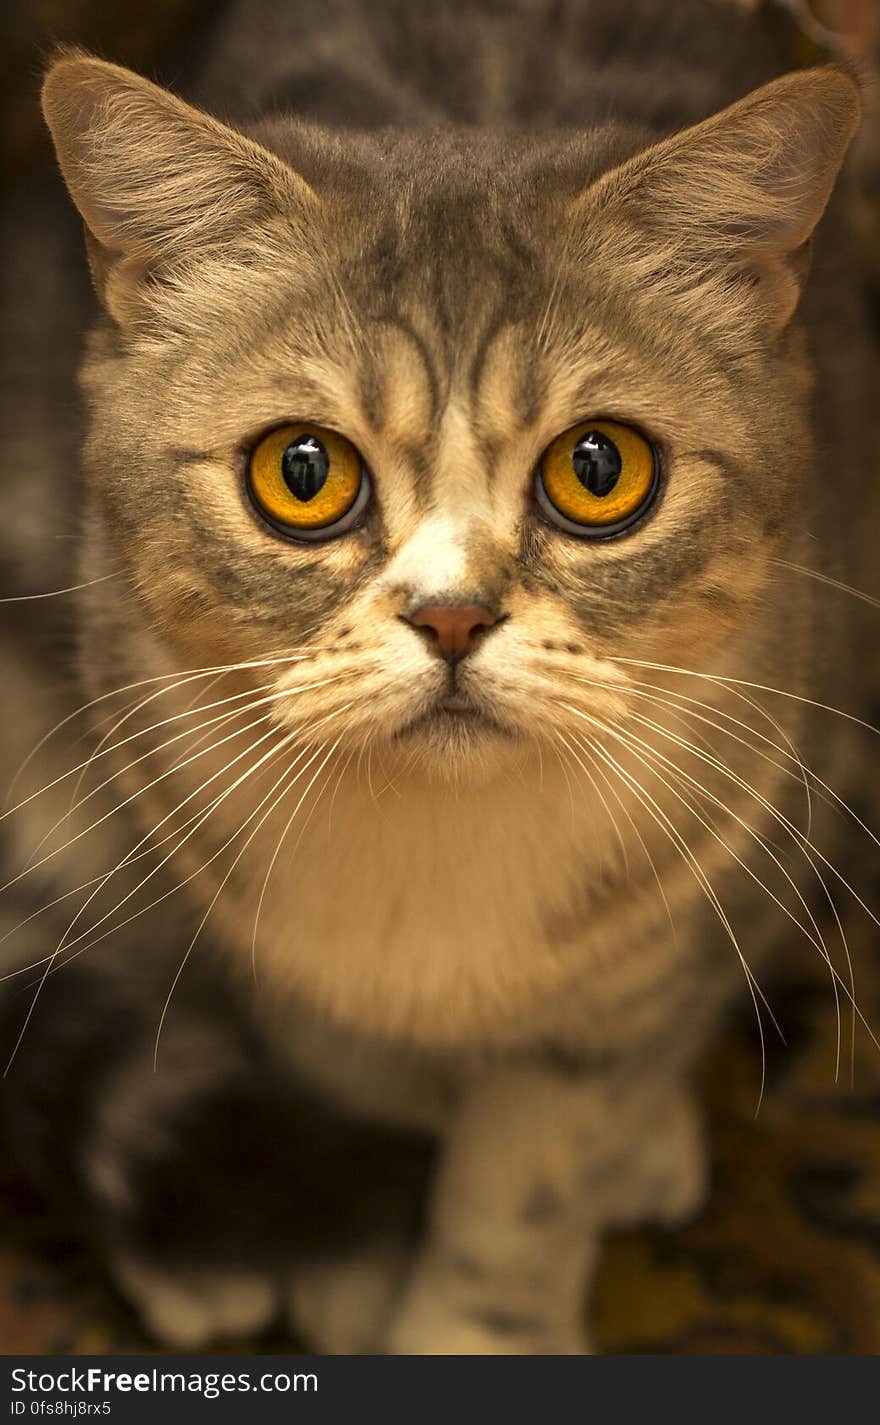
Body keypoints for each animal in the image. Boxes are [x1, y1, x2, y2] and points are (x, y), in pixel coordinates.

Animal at [0, 0, 871, 1350]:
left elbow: (530, 1172)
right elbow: (376, 1095)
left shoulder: (676, 911)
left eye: (599, 469)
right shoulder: (279, 955)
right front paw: (358, 1264)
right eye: (300, 470)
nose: (454, 616)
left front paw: (472, 1320)